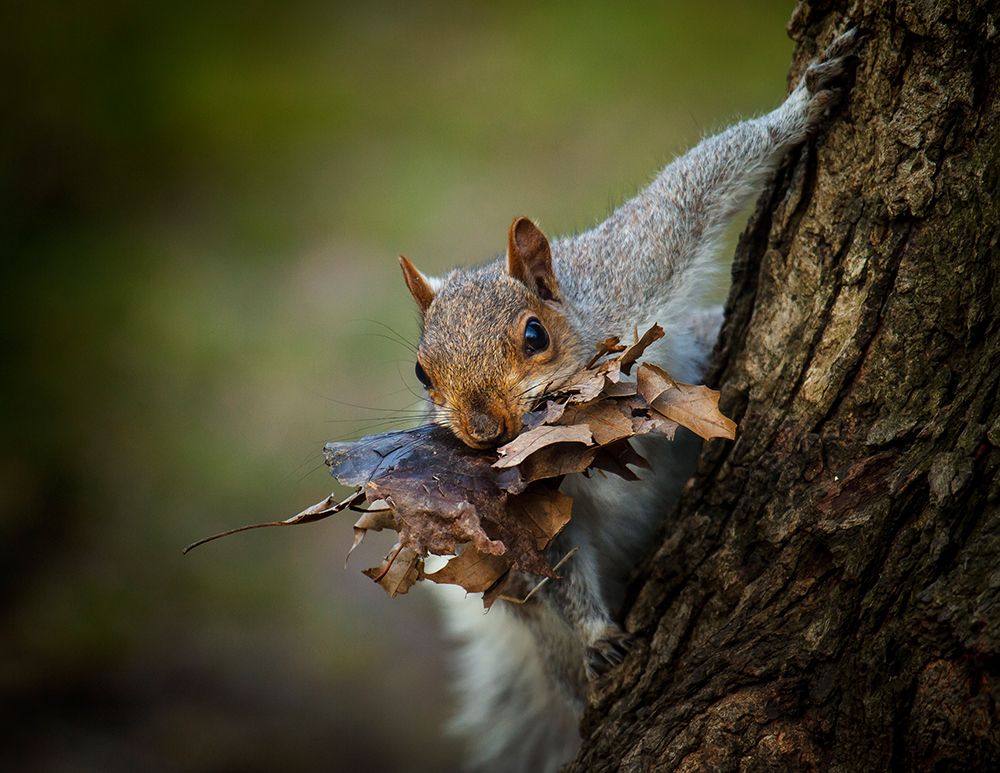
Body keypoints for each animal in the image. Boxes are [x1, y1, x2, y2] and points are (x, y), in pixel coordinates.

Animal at [390, 28, 860, 772]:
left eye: (534, 334)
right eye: (420, 372)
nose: (484, 430)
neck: (585, 425)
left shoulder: (632, 267)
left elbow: (692, 189)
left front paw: (801, 106)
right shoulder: (529, 505)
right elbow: (553, 559)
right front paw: (597, 635)